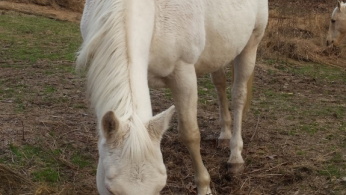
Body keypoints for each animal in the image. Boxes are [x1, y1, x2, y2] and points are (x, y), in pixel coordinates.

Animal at [77, 0, 268, 194]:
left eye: (160, 187)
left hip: (251, 44)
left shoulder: (184, 74)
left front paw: (204, 186)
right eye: (111, 189)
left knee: (238, 97)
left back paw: (235, 157)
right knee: (219, 84)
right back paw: (224, 135)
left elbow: (190, 134)